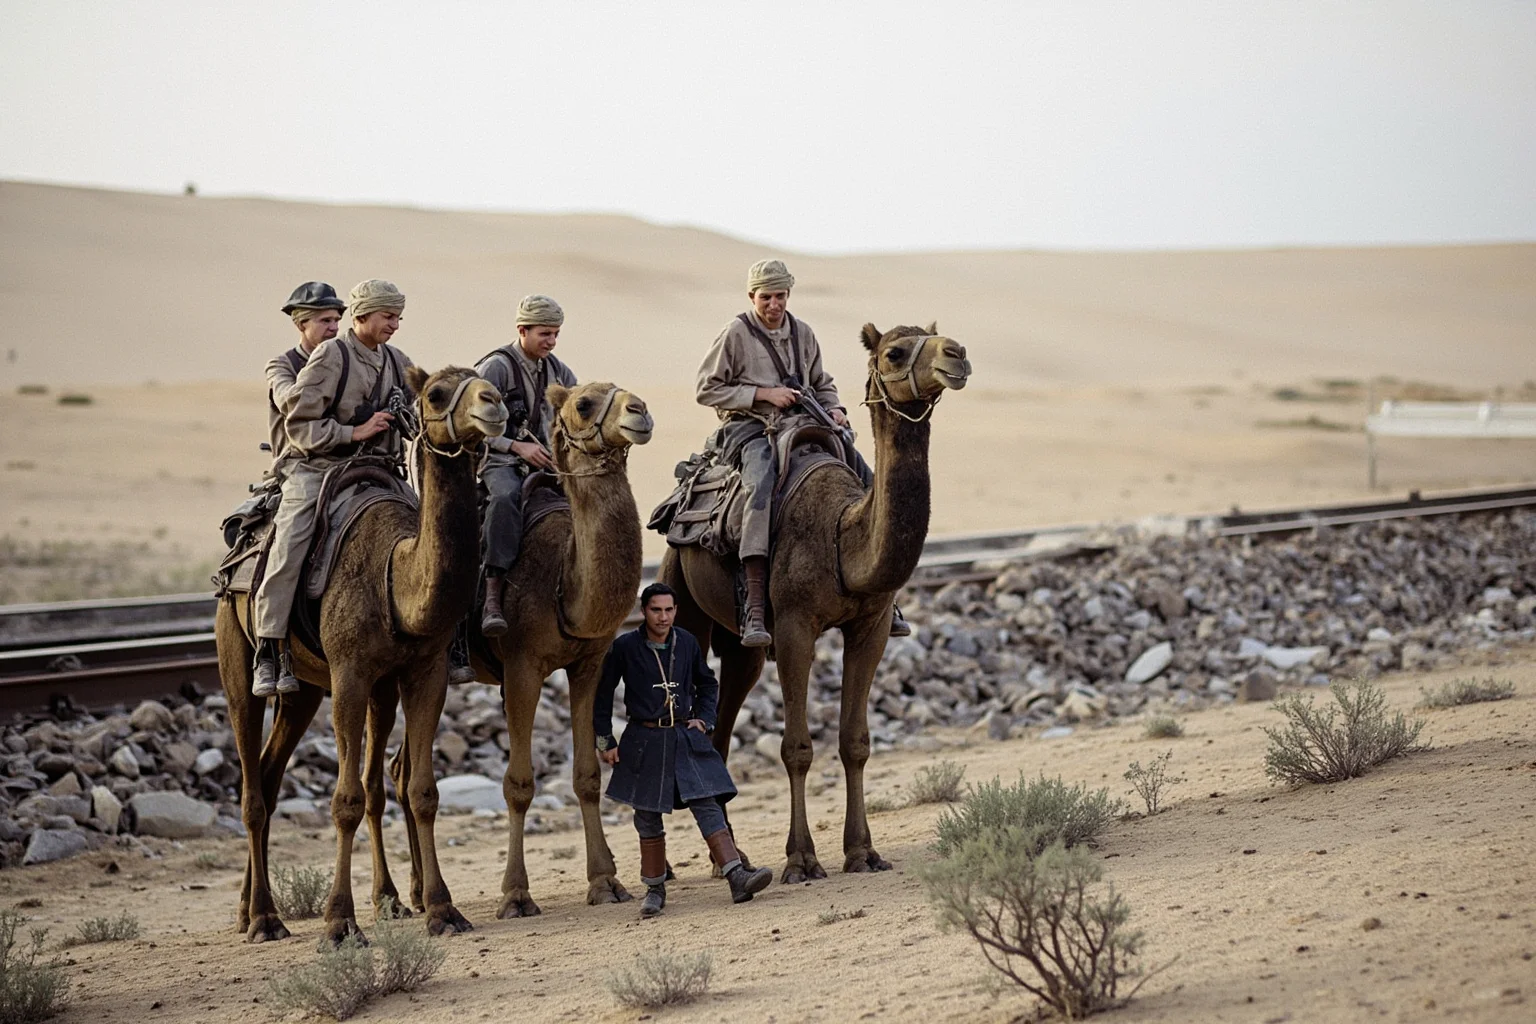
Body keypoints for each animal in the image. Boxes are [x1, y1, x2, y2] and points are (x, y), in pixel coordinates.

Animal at [216, 365, 507, 943]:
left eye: (481, 379)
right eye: (435, 393)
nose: (494, 404)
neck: (395, 574)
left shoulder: (423, 672)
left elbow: (421, 790)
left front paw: (442, 910)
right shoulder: (350, 675)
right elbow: (345, 800)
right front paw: (339, 922)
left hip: (309, 690)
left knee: (272, 774)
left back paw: (253, 907)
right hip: (236, 653)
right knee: (253, 786)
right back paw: (263, 919)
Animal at [394, 380, 653, 918]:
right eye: (583, 404)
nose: (640, 411)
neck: (564, 581)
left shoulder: (588, 663)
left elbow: (587, 775)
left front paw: (606, 882)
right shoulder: (521, 668)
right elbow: (518, 784)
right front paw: (515, 894)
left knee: (399, 770)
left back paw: (416, 893)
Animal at [658, 323, 971, 882]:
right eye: (894, 352)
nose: (956, 354)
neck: (842, 534)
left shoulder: (870, 626)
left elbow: (855, 742)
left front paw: (863, 852)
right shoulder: (795, 627)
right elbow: (797, 749)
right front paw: (801, 859)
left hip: (741, 646)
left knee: (722, 722)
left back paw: (730, 859)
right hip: (681, 594)